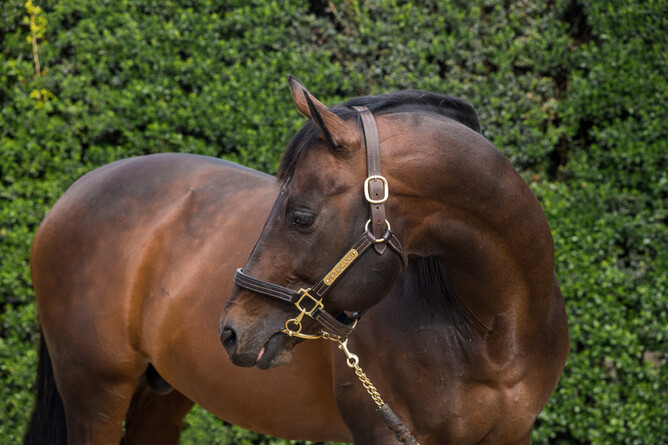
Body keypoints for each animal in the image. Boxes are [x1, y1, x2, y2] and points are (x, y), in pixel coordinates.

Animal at [23, 76, 568, 445]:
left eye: (300, 215)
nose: (231, 331)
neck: (491, 330)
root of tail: (70, 196)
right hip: (95, 392)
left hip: (162, 397)